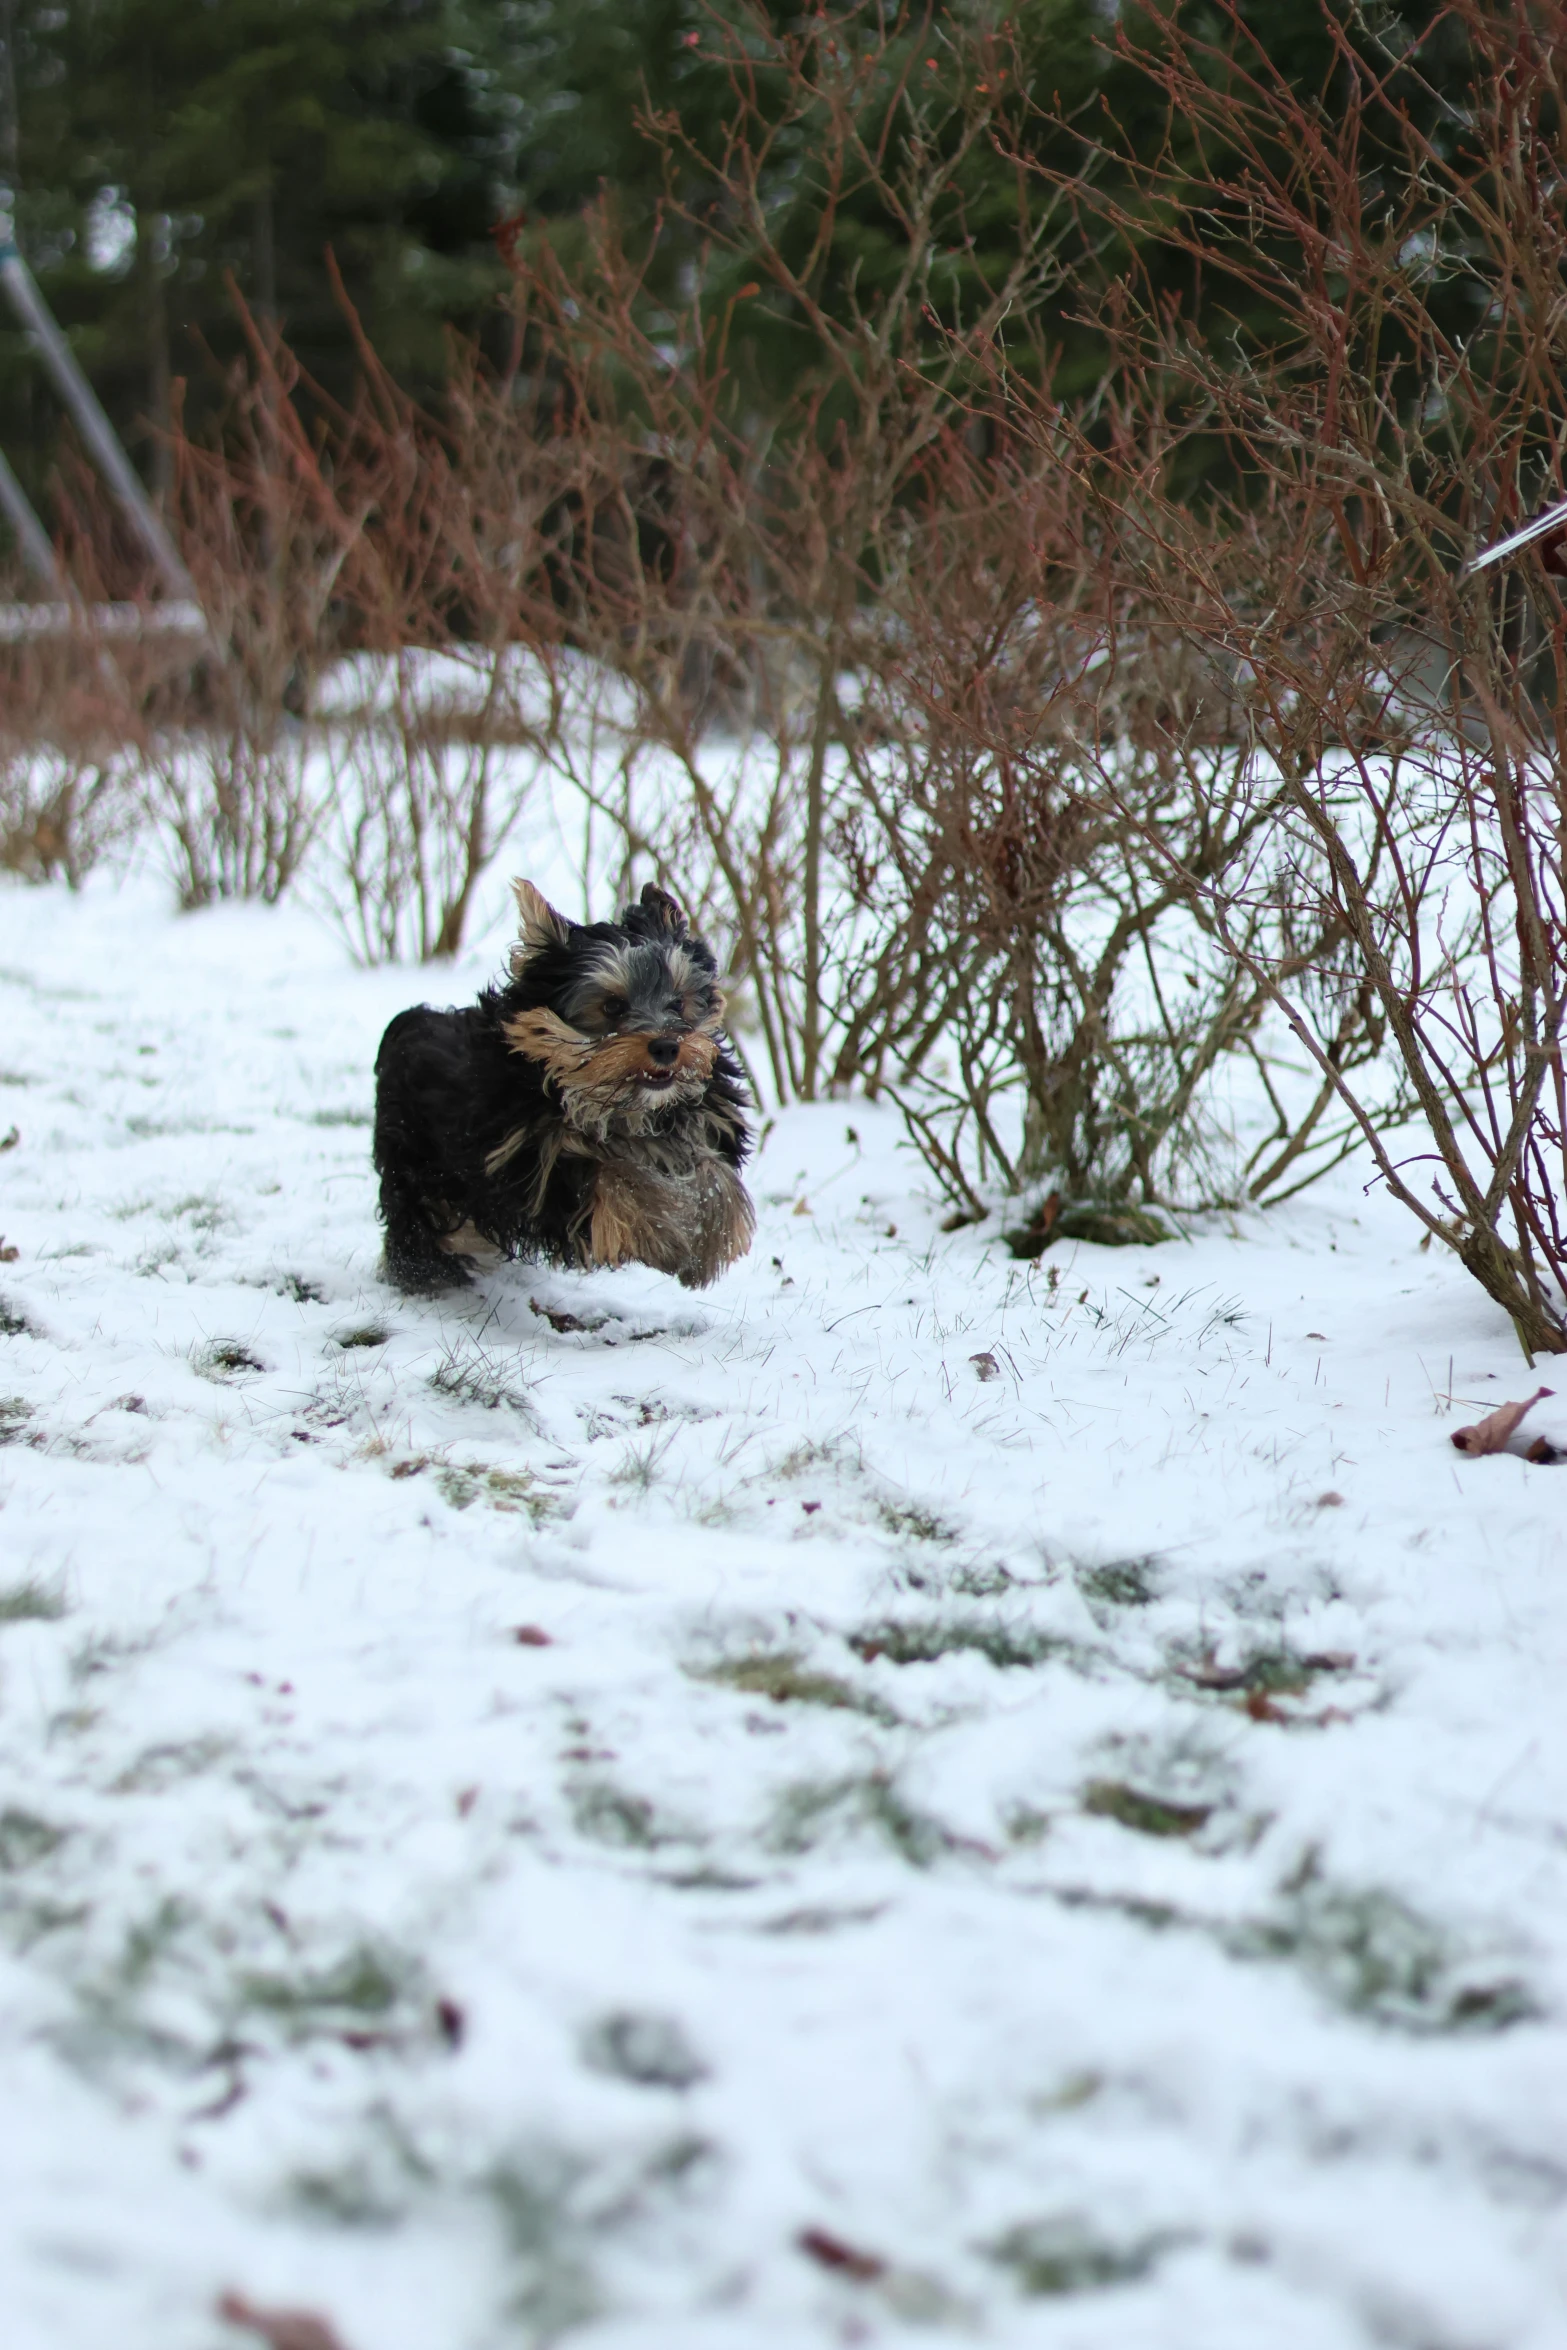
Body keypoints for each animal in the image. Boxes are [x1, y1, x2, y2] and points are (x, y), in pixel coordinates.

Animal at [373, 883, 751, 1297]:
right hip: (417, 1161)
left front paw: (709, 1236)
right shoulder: (532, 1164)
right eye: (612, 1006)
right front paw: (665, 1237)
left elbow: (711, 1169)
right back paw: (424, 1270)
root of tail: (411, 1020)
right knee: (417, 1215)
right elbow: (613, 1175)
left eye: (678, 1002)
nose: (668, 1047)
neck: (621, 1106)